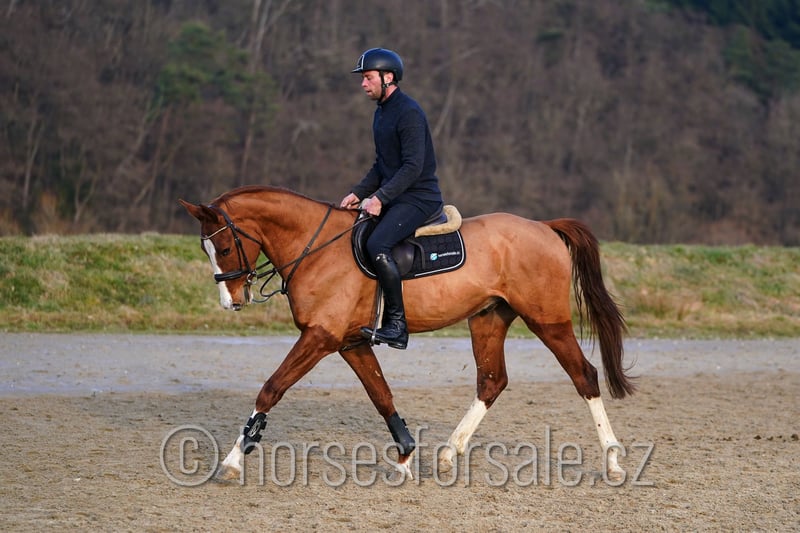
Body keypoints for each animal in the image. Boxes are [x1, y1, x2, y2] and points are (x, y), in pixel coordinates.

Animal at [179, 185, 635, 482]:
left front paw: (233, 460)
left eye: (223, 247)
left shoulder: (320, 338)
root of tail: (543, 226)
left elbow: (271, 388)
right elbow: (381, 395)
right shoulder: (350, 342)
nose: (231, 302)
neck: (318, 247)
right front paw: (405, 456)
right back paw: (449, 454)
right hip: (488, 319)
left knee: (584, 376)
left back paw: (613, 461)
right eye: (205, 249)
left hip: (548, 321)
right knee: (492, 381)